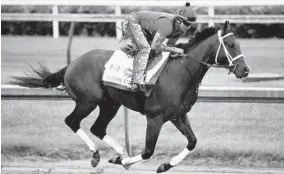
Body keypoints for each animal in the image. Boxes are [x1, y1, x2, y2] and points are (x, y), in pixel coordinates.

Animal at [11, 21, 251, 173]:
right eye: (231, 45)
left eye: (239, 44)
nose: (245, 70)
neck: (181, 72)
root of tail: (72, 63)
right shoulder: (154, 117)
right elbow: (147, 151)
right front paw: (131, 160)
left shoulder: (178, 115)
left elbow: (192, 142)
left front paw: (163, 165)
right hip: (88, 101)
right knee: (72, 121)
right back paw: (98, 155)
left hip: (110, 104)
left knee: (98, 127)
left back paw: (119, 154)